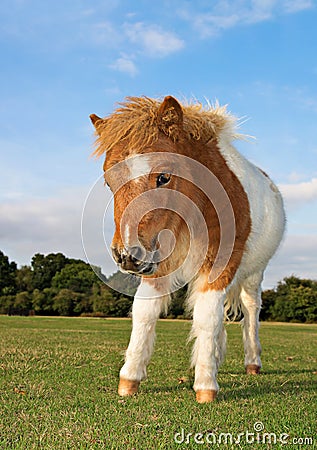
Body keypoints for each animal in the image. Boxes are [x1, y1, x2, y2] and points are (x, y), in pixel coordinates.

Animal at [90, 96, 286, 404]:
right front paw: (129, 380)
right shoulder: (157, 265)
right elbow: (144, 312)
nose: (126, 256)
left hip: (254, 275)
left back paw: (252, 363)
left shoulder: (218, 266)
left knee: (251, 310)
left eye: (164, 177)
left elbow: (207, 317)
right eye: (109, 181)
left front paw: (205, 386)